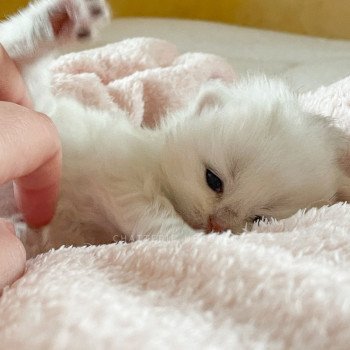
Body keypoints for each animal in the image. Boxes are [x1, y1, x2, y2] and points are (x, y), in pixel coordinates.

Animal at [0, 0, 350, 258]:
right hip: (35, 107)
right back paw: (61, 20)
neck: (156, 161)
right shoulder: (121, 174)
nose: (215, 224)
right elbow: (153, 213)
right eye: (213, 180)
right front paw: (186, 238)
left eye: (260, 218)